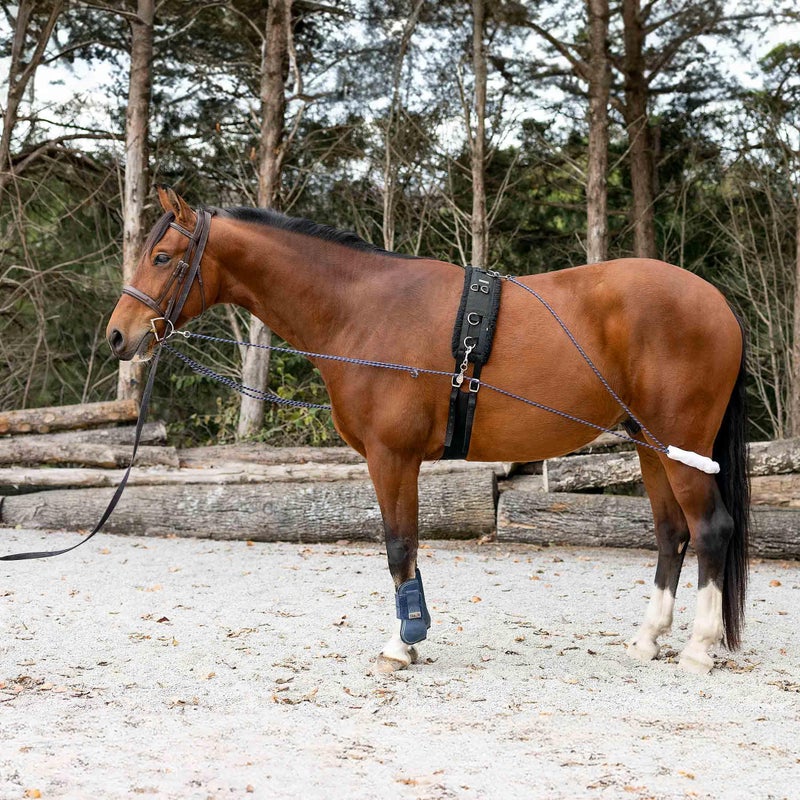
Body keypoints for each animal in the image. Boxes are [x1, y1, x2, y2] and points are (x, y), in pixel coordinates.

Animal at [106, 186, 749, 676]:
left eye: (162, 256)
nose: (117, 336)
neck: (363, 311)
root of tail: (717, 304)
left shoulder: (391, 457)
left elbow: (400, 546)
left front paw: (401, 644)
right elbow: (408, 548)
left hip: (681, 446)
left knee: (710, 529)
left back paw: (698, 649)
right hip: (650, 446)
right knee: (671, 533)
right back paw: (648, 639)